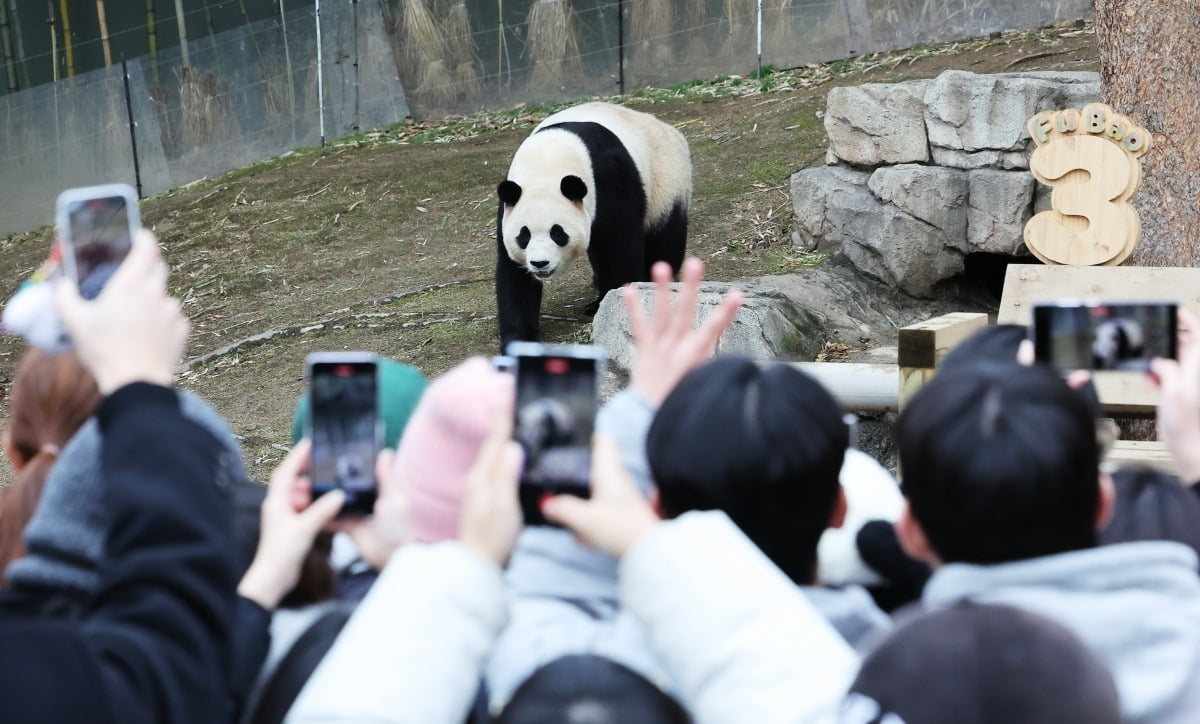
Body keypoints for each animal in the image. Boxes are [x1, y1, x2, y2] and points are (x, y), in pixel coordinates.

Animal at [492, 103, 691, 350]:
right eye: (524, 236)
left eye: (557, 232)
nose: (540, 264)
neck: (547, 163)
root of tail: (668, 128)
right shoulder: (509, 203)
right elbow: (513, 275)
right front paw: (520, 340)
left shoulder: (608, 179)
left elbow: (621, 247)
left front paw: (613, 304)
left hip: (665, 180)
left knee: (665, 237)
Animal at [1036, 301, 1176, 374]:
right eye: (1100, 349)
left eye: (1109, 349)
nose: (1104, 356)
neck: (1106, 331)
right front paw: (1098, 366)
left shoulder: (1121, 336)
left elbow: (1122, 351)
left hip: (1137, 339)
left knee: (1136, 350)